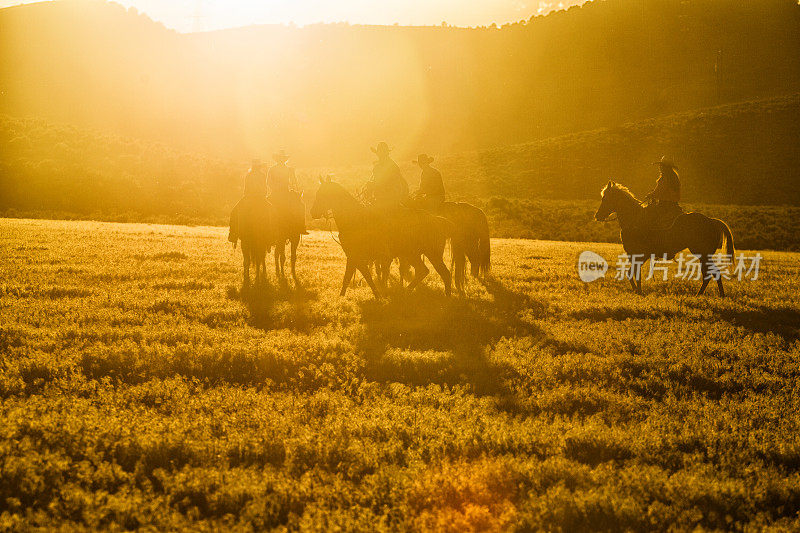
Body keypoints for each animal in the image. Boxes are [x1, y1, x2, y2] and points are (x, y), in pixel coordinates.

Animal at [310, 177, 454, 298]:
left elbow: (364, 276)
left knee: (437, 273)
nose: (313, 213)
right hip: (417, 255)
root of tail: (438, 220)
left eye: (323, 194)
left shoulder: (357, 256)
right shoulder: (353, 256)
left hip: (425, 254)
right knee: (429, 272)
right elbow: (351, 277)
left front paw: (378, 295)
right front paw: (343, 297)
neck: (355, 219)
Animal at [596, 179, 736, 296]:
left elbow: (633, 274)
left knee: (712, 273)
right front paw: (638, 291)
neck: (635, 219)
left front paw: (639, 292)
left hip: (703, 254)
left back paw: (709, 294)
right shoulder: (637, 256)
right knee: (711, 273)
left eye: (605, 199)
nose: (597, 216)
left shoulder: (640, 255)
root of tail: (712, 221)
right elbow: (632, 273)